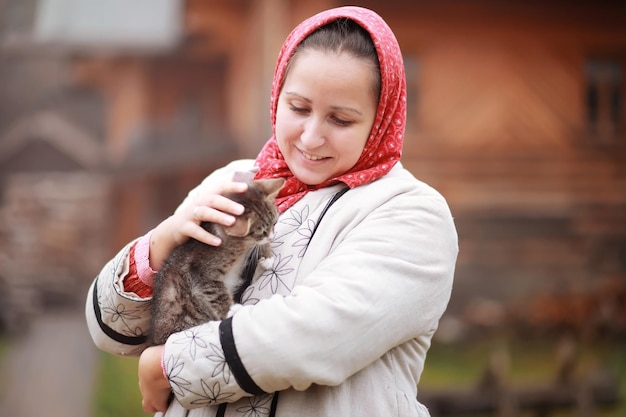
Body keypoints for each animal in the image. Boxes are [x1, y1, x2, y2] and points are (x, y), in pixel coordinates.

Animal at [149, 176, 282, 344]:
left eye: (275, 223)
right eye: (262, 232)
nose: (271, 236)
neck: (238, 246)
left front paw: (267, 256)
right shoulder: (201, 272)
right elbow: (215, 291)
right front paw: (232, 309)